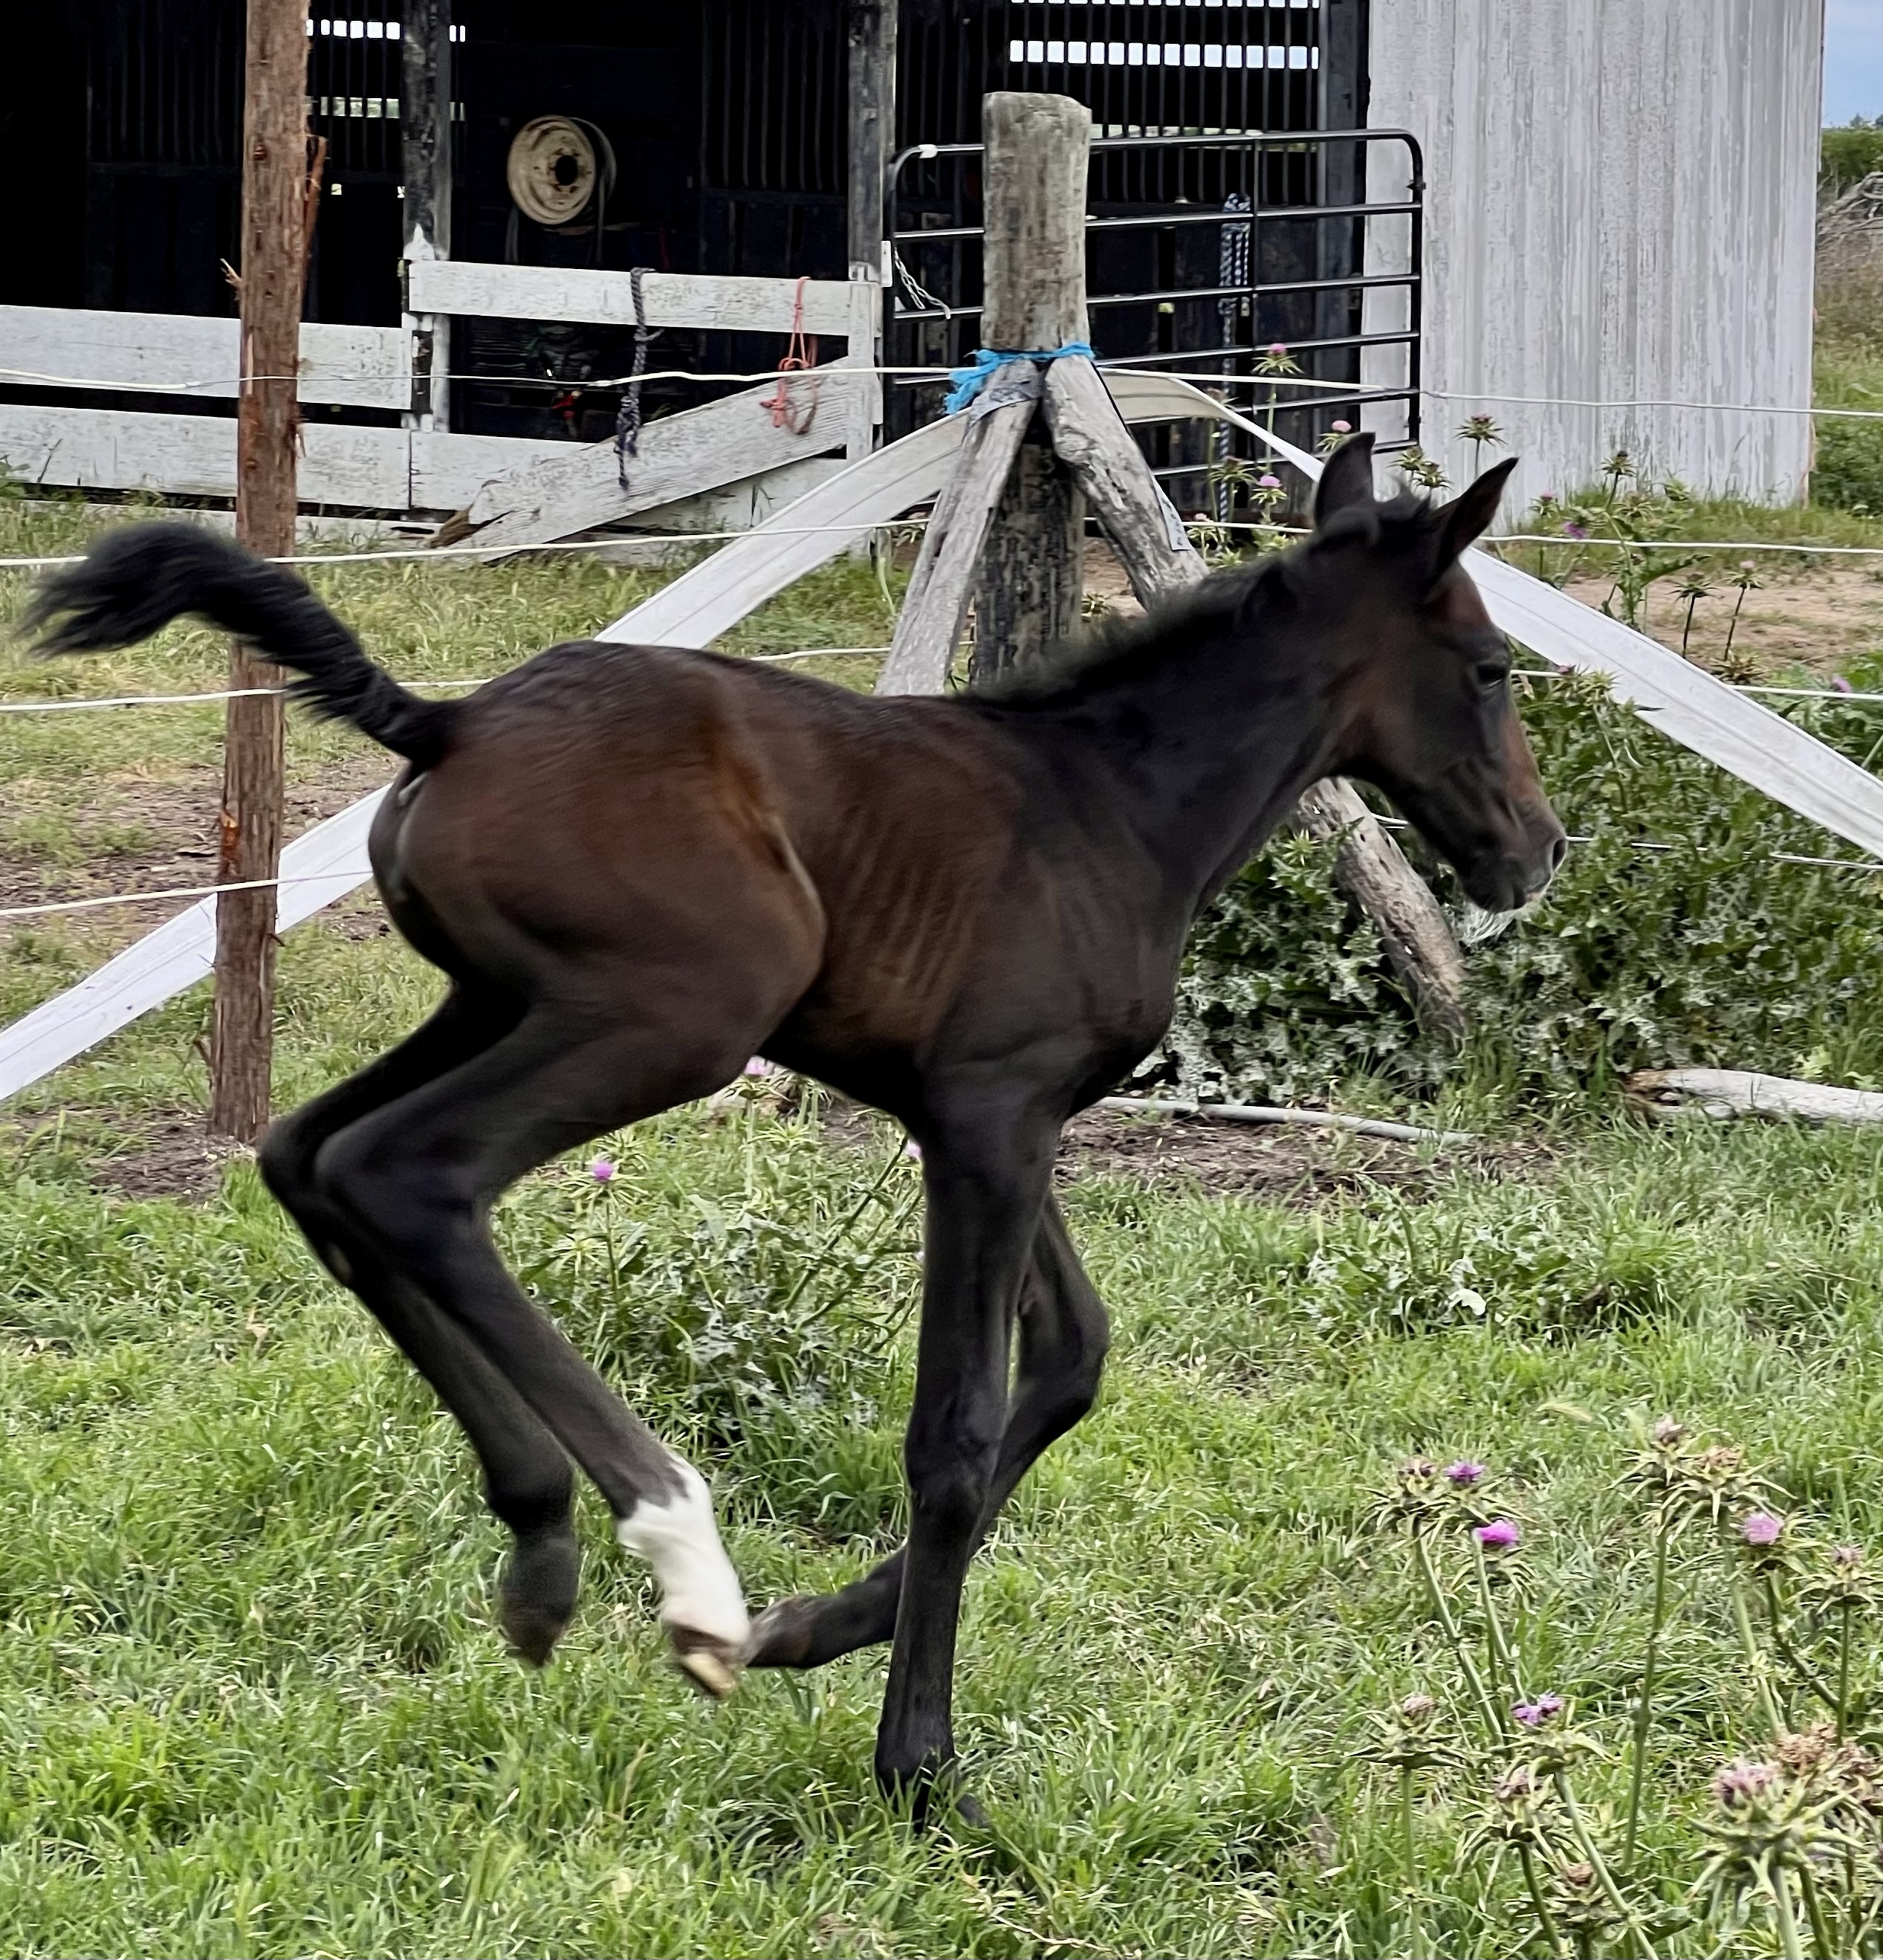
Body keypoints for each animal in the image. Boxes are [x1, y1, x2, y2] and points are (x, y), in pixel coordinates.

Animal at [27, 433, 1564, 1810]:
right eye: (1489, 670)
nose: (1537, 852)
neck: (1108, 806)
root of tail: (447, 722)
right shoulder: (992, 1115)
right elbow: (955, 1432)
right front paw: (914, 1760)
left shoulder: (987, 1115)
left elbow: (1071, 1360)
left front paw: (816, 1626)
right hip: (673, 1017)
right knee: (409, 1173)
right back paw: (683, 1566)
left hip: (496, 1002)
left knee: (310, 1156)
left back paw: (542, 1547)